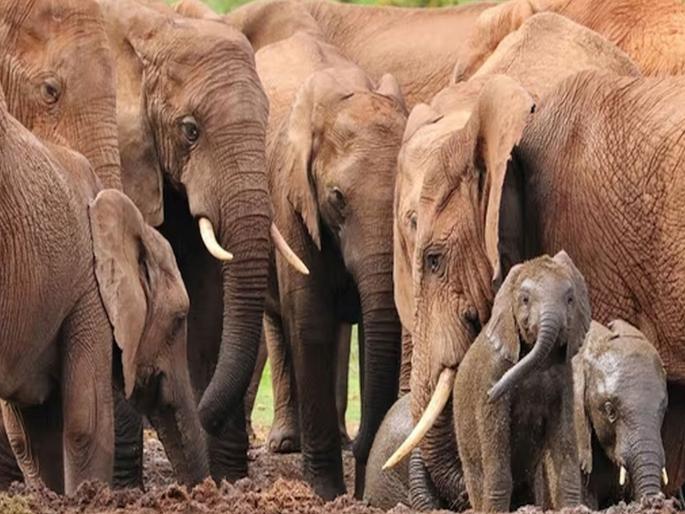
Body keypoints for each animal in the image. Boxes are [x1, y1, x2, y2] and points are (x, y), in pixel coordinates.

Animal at [95, 0, 306, 486]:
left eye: (266, 123)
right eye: (190, 130)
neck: (156, 26)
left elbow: (210, 298)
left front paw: (228, 481)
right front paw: (123, 489)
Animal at [252, 31, 407, 499]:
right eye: (337, 198)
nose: (362, 448)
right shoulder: (289, 198)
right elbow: (309, 321)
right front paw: (325, 492)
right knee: (279, 320)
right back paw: (287, 443)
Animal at [454, 252, 590, 512]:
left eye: (570, 299)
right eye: (525, 300)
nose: (492, 392)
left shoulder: (564, 379)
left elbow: (564, 442)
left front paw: (571, 508)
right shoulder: (492, 370)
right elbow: (496, 443)